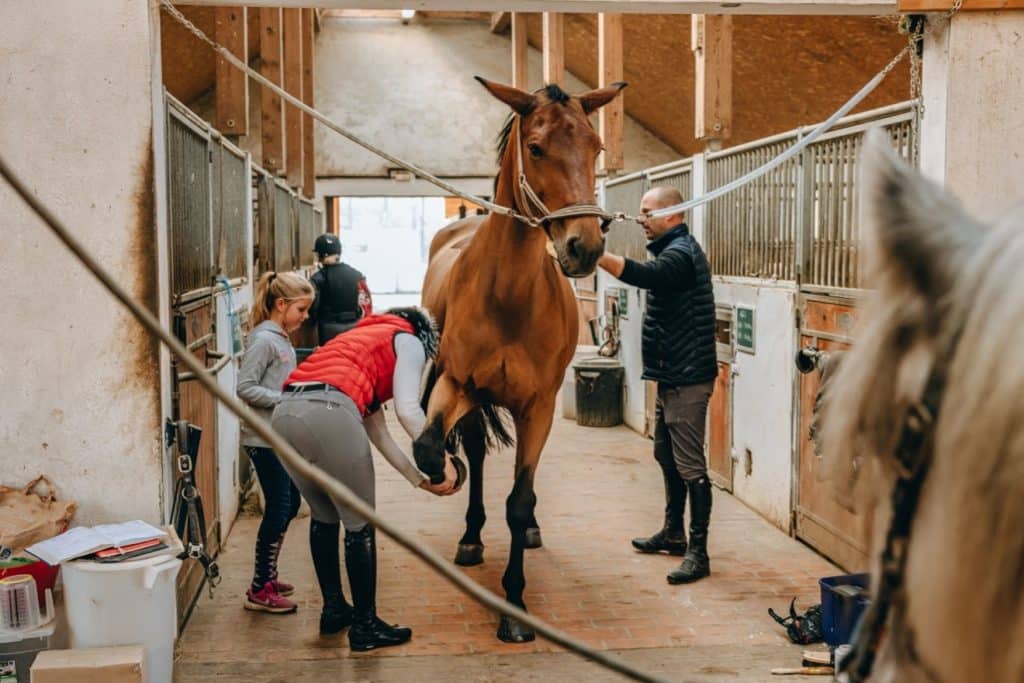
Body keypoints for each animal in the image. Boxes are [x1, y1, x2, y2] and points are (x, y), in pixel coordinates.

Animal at [409, 77, 618, 643]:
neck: (509, 296)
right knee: (479, 456)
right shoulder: (457, 385)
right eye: (537, 147)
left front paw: (515, 607)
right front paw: (449, 478)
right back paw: (471, 536)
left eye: (597, 147)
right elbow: (430, 448)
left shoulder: (538, 406)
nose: (585, 247)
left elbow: (520, 499)